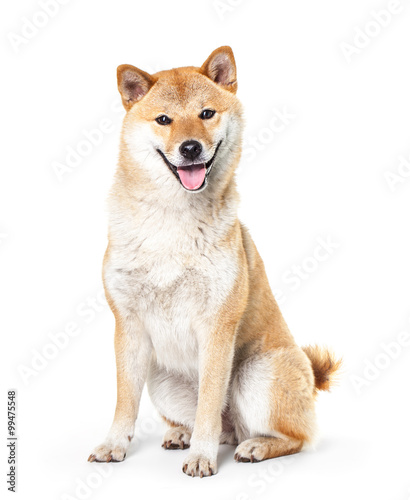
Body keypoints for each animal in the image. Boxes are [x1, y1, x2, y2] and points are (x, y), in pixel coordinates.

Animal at [88, 46, 342, 476]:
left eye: (206, 113)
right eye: (164, 119)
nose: (190, 147)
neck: (172, 220)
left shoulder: (217, 325)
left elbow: (209, 401)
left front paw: (202, 457)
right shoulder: (129, 325)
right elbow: (125, 401)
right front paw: (114, 445)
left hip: (255, 374)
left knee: (293, 437)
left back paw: (255, 446)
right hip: (162, 379)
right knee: (223, 427)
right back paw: (182, 434)